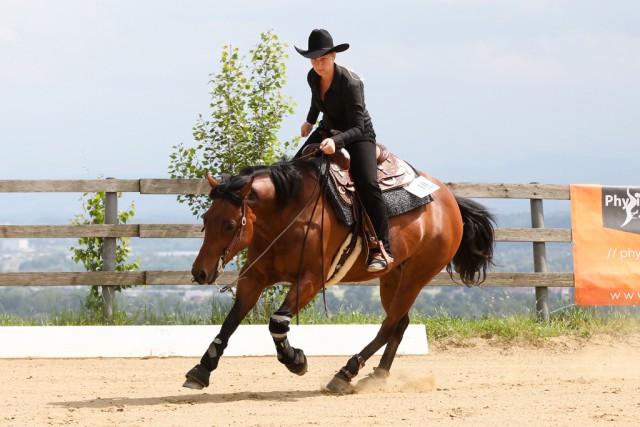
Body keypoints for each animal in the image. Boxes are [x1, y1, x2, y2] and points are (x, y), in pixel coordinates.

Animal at [185, 155, 496, 392]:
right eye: (206, 219)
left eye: (229, 225)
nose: (200, 272)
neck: (289, 215)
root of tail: (449, 200)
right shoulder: (255, 277)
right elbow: (231, 321)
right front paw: (201, 369)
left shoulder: (311, 280)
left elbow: (277, 323)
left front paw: (296, 360)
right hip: (393, 277)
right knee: (400, 323)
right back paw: (377, 375)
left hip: (417, 276)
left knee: (389, 325)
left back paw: (346, 372)